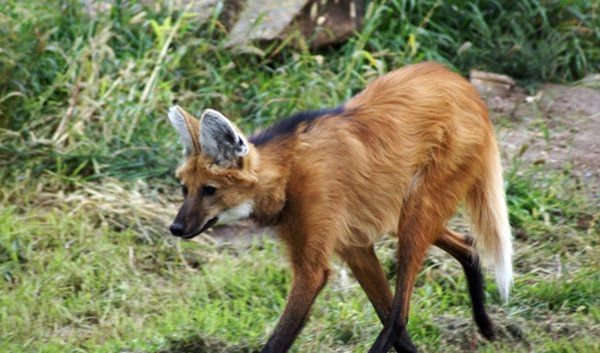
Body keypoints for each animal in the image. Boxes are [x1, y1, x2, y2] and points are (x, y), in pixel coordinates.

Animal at [166, 62, 512, 350]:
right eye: (185, 189)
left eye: (209, 190)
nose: (175, 228)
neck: (288, 175)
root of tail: (464, 86)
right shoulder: (354, 245)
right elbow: (388, 316)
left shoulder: (315, 264)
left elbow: (283, 336)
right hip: (401, 211)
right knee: (466, 246)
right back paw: (485, 323)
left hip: (417, 206)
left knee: (400, 313)